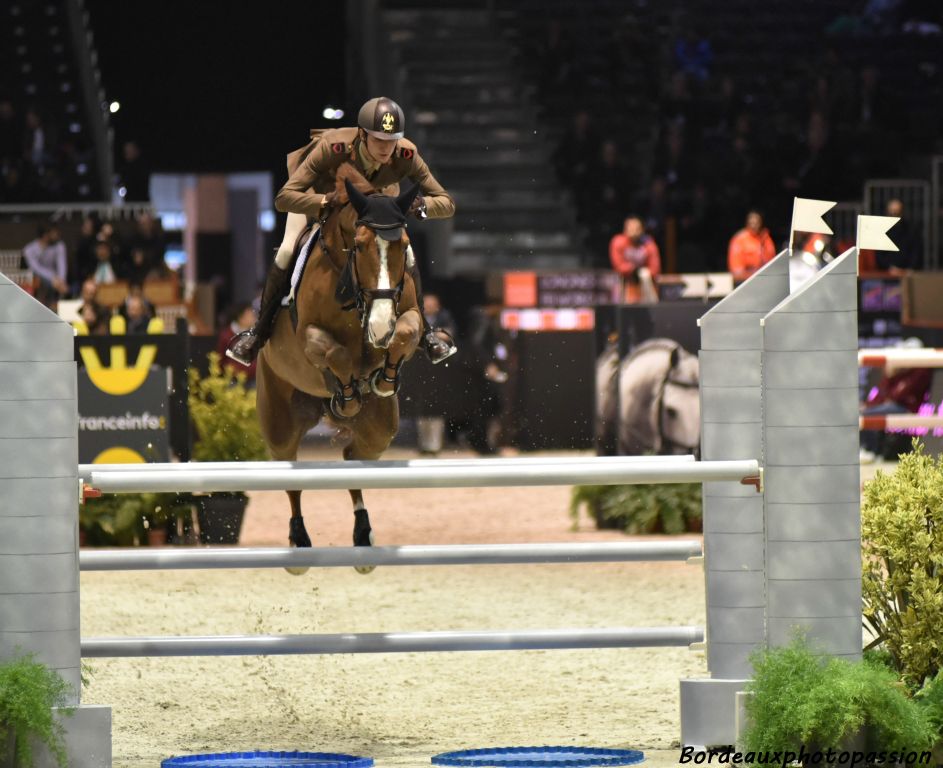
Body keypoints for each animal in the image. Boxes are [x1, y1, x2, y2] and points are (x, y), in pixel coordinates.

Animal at [256, 170, 422, 576]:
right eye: (358, 246)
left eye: (404, 245)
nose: (379, 324)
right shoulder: (308, 336)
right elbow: (335, 351)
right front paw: (346, 393)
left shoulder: (408, 314)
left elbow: (406, 332)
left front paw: (383, 377)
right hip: (279, 419)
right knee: (289, 471)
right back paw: (298, 544)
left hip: (379, 430)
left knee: (352, 459)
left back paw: (363, 536)